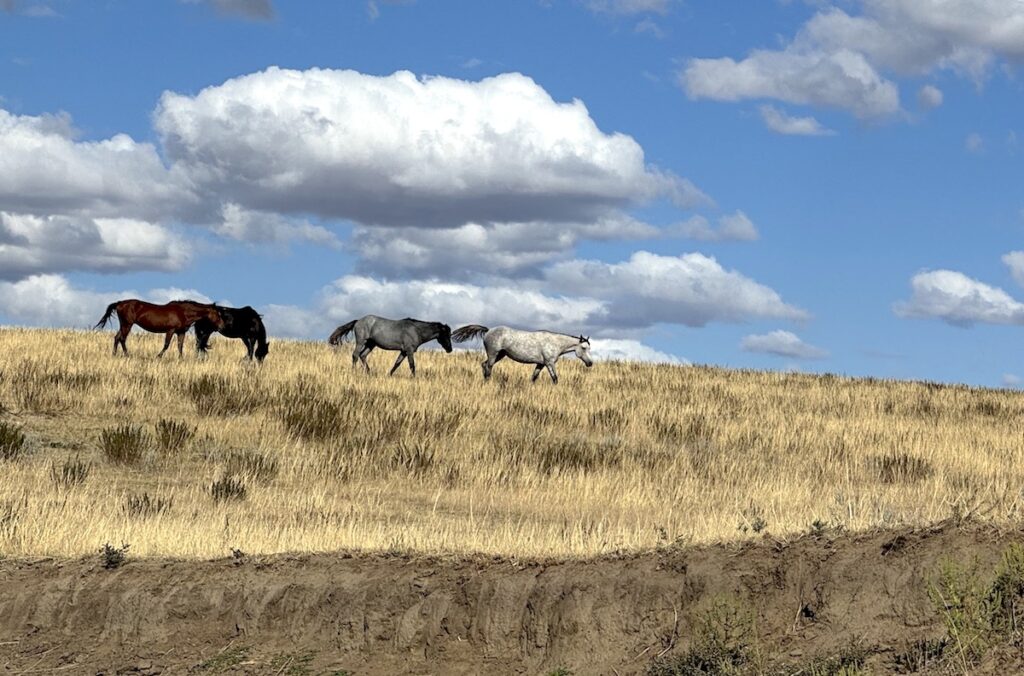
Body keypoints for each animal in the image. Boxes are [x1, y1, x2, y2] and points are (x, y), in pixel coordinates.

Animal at [94, 299, 225, 358]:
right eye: (218, 314)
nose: (222, 326)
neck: (183, 312)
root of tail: (120, 303)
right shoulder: (170, 330)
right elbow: (166, 345)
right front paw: (158, 356)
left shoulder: (181, 332)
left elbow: (180, 346)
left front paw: (181, 359)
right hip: (127, 324)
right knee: (122, 339)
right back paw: (127, 355)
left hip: (124, 325)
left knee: (117, 337)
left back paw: (114, 354)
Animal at [451, 325, 593, 384]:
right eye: (584, 348)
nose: (590, 363)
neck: (554, 342)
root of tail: (488, 330)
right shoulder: (549, 363)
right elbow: (555, 378)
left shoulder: (541, 364)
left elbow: (534, 377)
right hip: (493, 354)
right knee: (488, 368)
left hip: (500, 355)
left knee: (483, 365)